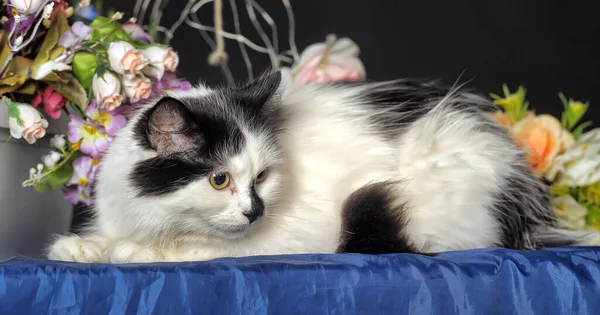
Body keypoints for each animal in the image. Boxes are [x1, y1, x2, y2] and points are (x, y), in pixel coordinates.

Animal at [45, 71, 596, 264]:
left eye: (261, 177)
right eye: (219, 179)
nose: (253, 212)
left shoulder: (289, 237)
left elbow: (195, 251)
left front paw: (130, 253)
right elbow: (102, 239)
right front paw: (81, 247)